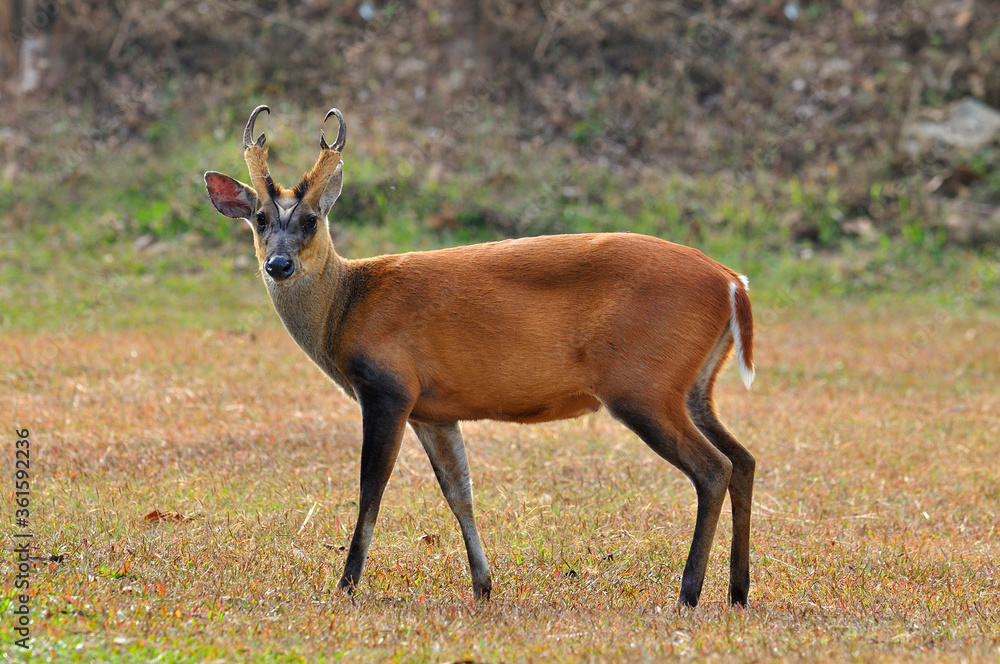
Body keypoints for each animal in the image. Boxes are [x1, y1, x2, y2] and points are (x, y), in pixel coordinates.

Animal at [203, 105, 756, 608]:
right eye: (259, 218)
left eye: (312, 220)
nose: (278, 264)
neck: (346, 305)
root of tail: (732, 281)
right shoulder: (433, 409)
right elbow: (459, 492)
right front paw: (483, 585)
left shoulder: (387, 386)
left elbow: (371, 488)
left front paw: (346, 583)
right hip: (693, 387)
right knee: (743, 459)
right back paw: (737, 590)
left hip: (642, 384)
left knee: (713, 468)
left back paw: (689, 593)